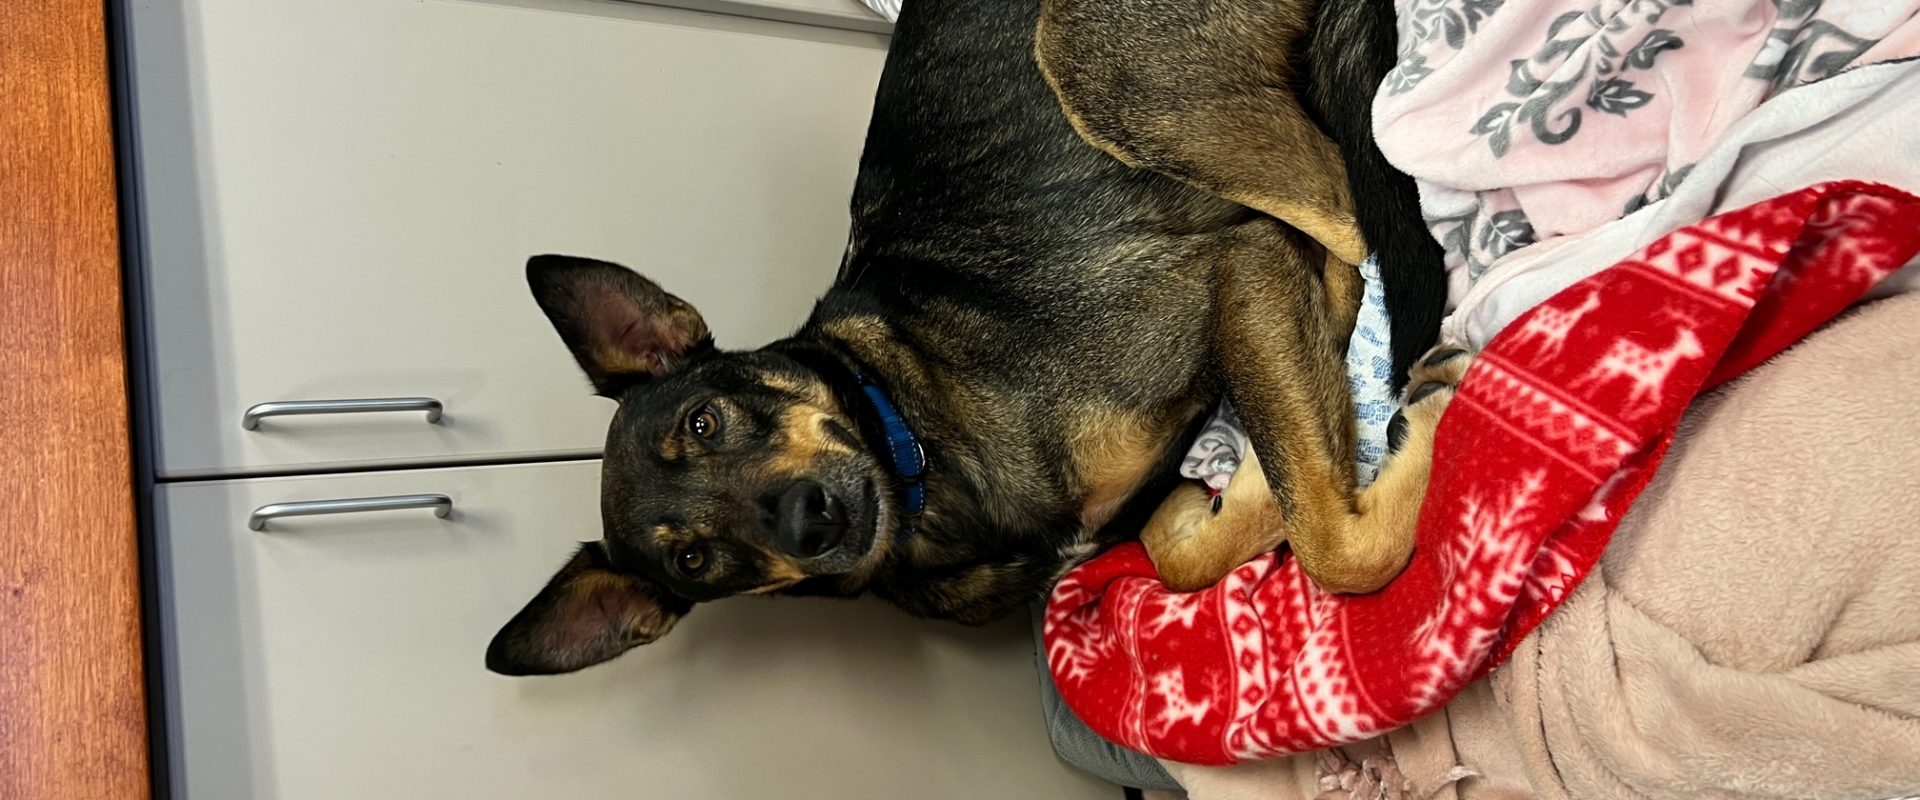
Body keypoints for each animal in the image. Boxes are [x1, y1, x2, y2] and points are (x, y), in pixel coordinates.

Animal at [485, 0, 1461, 677]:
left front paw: (1414, 439)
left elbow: (1333, 549)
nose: (810, 518)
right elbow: (1186, 553)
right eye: (693, 558)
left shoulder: (1230, 269)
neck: (912, 436)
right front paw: (1225, 496)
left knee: (1347, 226)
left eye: (704, 421)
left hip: (1103, 70)